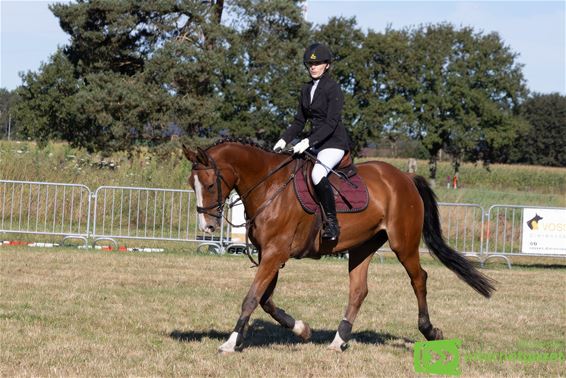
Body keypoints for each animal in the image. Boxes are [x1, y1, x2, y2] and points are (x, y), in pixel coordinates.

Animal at [183, 139, 496, 354]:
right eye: (191, 183)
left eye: (209, 184)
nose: (207, 227)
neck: (269, 186)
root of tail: (404, 178)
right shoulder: (269, 255)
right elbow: (266, 300)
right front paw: (302, 330)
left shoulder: (274, 253)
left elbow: (252, 297)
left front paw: (230, 343)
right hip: (362, 247)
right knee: (358, 290)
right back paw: (338, 340)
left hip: (403, 244)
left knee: (419, 279)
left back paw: (429, 331)